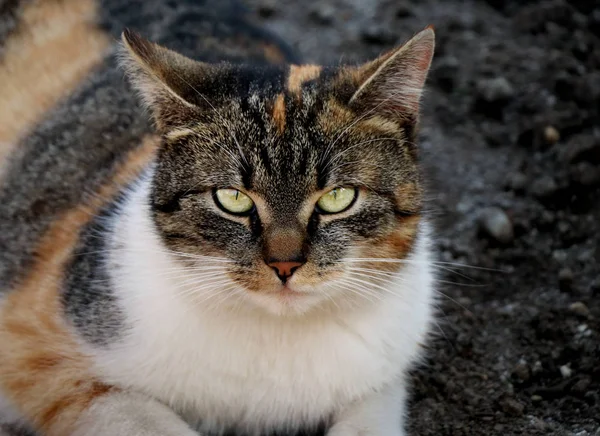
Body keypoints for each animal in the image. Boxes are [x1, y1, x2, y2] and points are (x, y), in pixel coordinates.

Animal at [0, 0, 434, 436]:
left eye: (338, 197)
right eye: (232, 198)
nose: (285, 265)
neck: (275, 336)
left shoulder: (381, 375)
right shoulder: (37, 346)